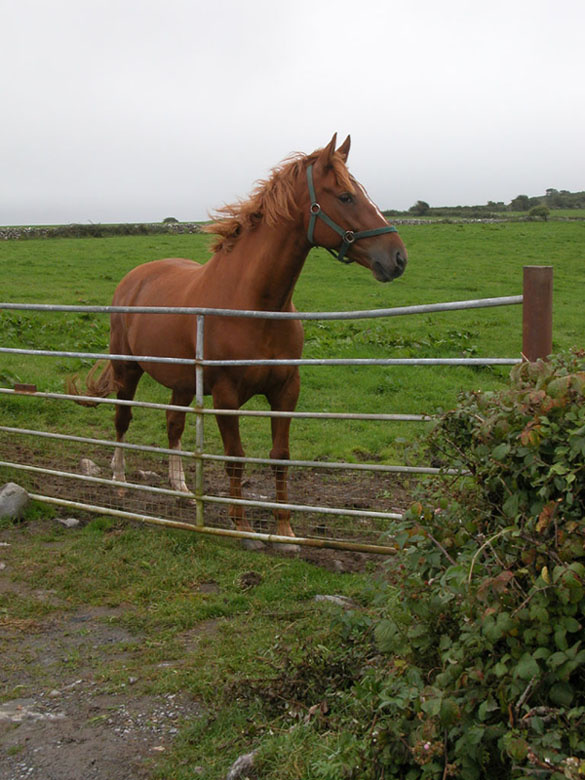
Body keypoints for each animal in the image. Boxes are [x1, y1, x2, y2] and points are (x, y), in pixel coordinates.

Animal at [69, 134, 407, 548]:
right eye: (345, 196)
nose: (397, 258)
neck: (254, 306)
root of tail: (135, 278)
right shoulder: (227, 396)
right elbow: (236, 457)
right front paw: (242, 527)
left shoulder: (286, 391)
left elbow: (280, 456)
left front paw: (285, 529)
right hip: (127, 368)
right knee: (122, 419)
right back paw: (118, 481)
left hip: (183, 382)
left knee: (173, 424)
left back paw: (181, 488)